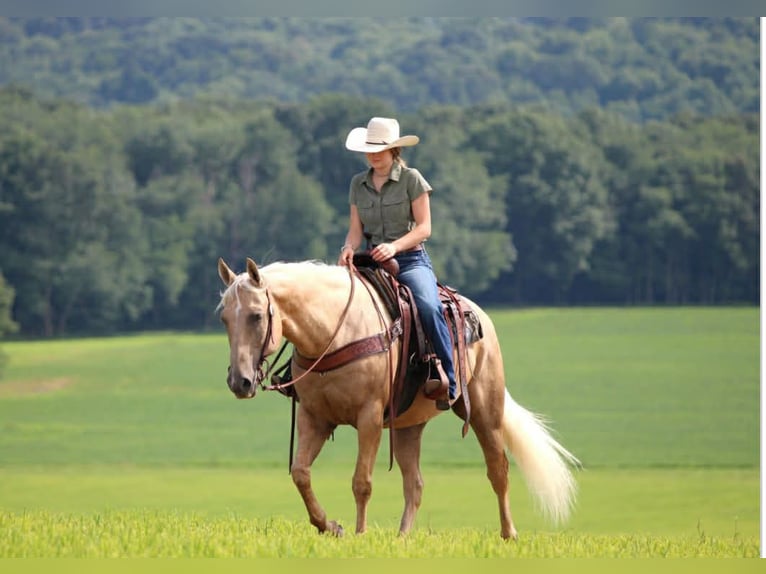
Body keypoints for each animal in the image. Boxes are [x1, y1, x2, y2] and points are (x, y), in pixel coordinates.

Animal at [216, 257, 580, 539]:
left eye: (256, 315)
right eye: (224, 318)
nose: (239, 382)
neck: (334, 331)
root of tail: (481, 317)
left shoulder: (369, 417)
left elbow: (361, 481)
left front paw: (360, 534)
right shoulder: (314, 417)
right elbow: (300, 473)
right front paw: (330, 526)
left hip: (484, 412)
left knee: (498, 469)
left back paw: (508, 533)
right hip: (408, 427)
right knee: (414, 483)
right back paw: (402, 537)